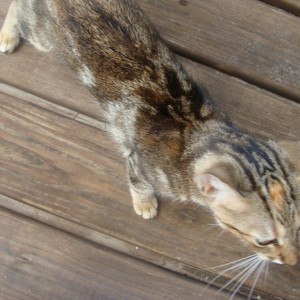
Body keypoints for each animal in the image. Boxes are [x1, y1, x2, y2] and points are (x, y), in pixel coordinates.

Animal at [1, 0, 298, 268]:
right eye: (265, 241)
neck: (198, 131)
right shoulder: (139, 163)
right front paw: (144, 203)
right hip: (40, 35)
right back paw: (8, 35)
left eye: (297, 229)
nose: (293, 261)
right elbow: (138, 183)